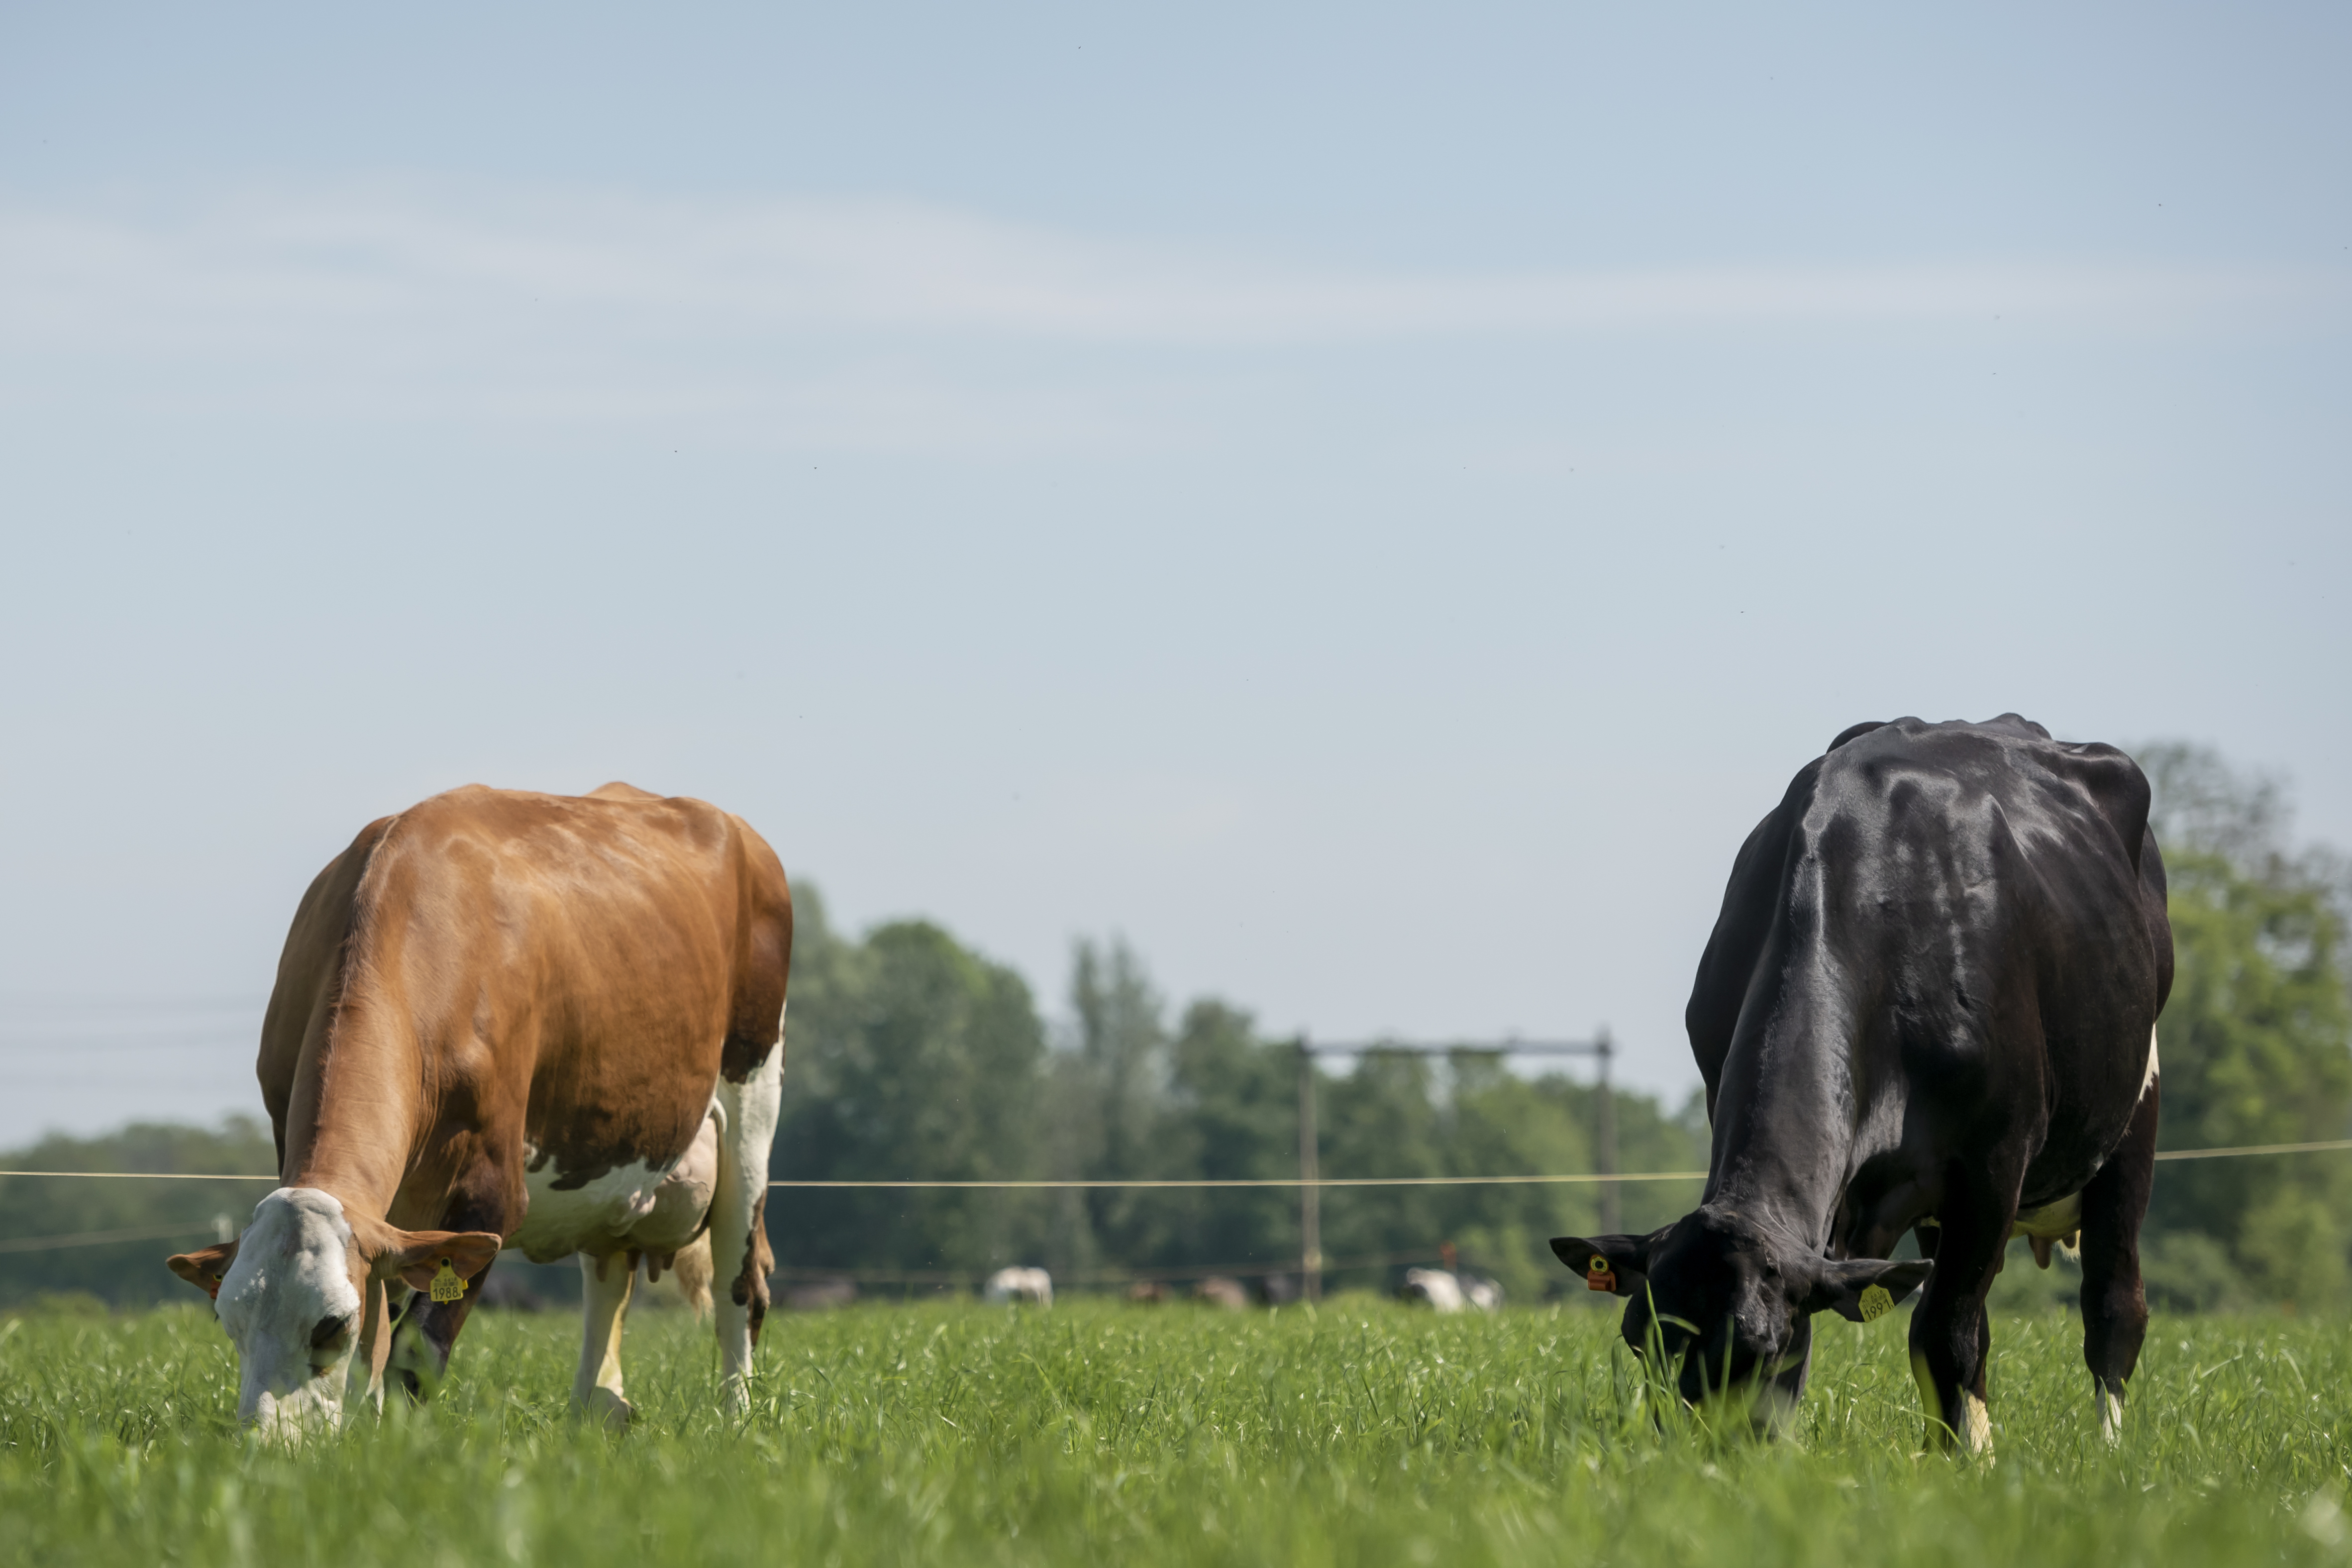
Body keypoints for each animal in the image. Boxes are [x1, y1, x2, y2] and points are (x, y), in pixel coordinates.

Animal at [168, 785, 790, 1439]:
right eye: (229, 1320)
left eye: (329, 1324)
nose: (266, 1442)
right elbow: (379, 1340)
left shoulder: (491, 1195)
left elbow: (414, 1349)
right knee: (608, 1281)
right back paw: (592, 1414)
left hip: (753, 1098)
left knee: (741, 1284)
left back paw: (735, 1421)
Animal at [1552, 719, 2173, 1457]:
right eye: (1638, 1342)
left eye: (1760, 1348)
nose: (1690, 1459)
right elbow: (1943, 1332)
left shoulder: (1992, 1165)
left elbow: (1943, 1333)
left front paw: (1960, 1466)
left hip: (2133, 1112)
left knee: (2112, 1306)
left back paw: (2109, 1450)